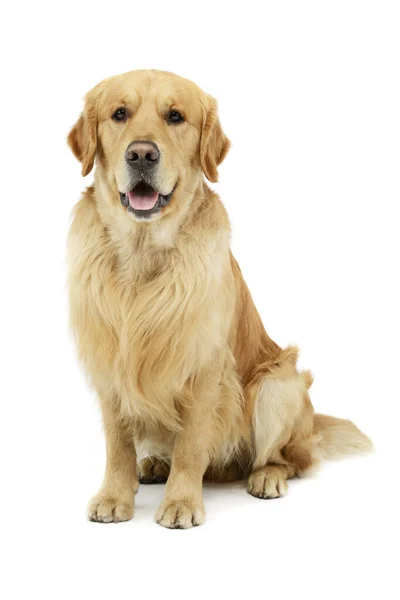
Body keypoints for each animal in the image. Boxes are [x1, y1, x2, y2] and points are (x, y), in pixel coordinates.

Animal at [66, 71, 372, 528]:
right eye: (119, 114)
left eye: (175, 116)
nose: (142, 154)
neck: (143, 255)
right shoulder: (109, 363)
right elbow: (118, 443)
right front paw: (115, 495)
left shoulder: (205, 366)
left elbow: (193, 444)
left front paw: (181, 502)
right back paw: (154, 464)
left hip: (278, 385)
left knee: (289, 459)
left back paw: (266, 477)